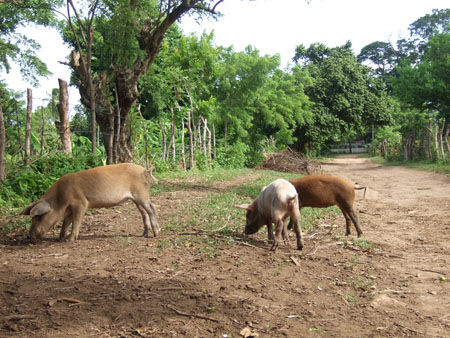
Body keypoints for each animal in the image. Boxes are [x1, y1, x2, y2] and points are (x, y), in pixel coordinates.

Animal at [20, 163, 159, 240]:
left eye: (39, 217)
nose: (29, 236)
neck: (60, 199)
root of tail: (145, 171)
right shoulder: (69, 209)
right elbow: (66, 222)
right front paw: (60, 238)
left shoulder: (80, 204)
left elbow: (76, 222)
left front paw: (70, 240)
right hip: (136, 199)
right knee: (143, 212)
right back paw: (144, 234)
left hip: (141, 194)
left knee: (152, 208)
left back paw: (156, 233)